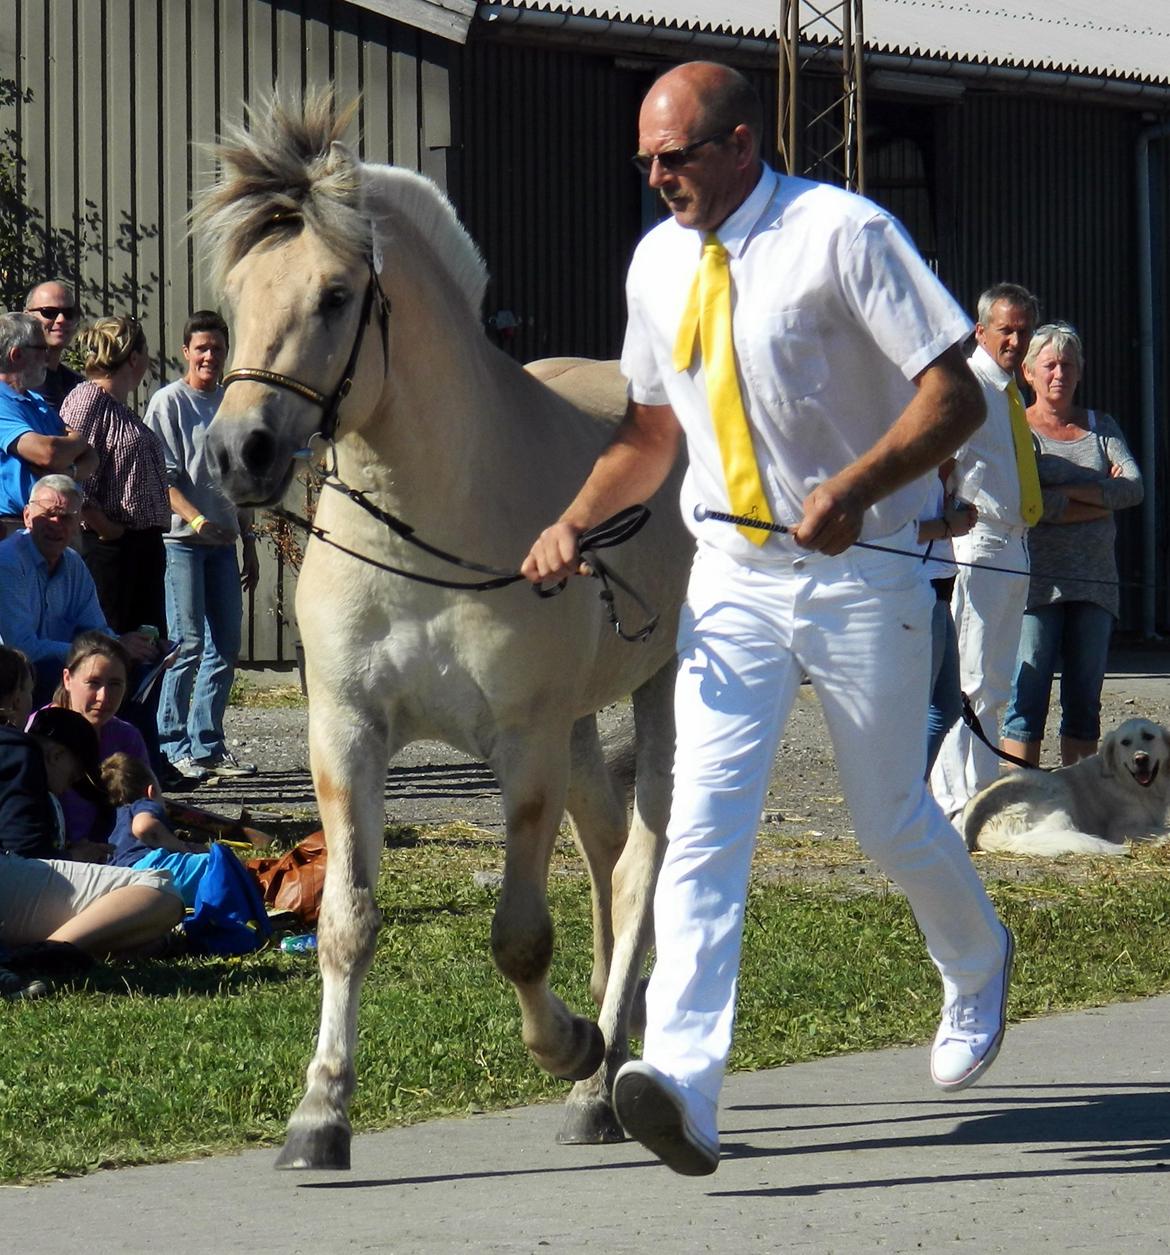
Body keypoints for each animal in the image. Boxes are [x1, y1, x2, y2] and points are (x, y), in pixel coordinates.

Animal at [959, 722, 1170, 858]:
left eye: (1149, 736)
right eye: (1125, 742)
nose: (1140, 759)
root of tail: (980, 831)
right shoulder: (1122, 829)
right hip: (1056, 797)